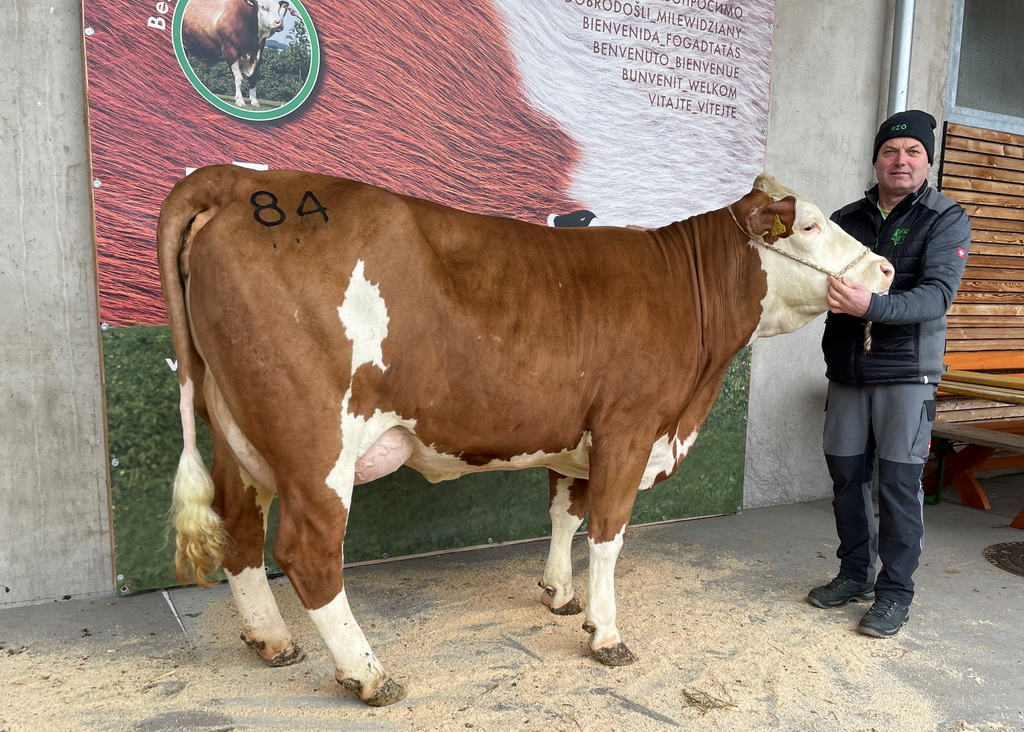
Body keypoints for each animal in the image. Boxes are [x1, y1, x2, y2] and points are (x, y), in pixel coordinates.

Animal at [155, 164, 892, 704]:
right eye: (812, 223)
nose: (885, 270)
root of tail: (247, 180)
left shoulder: (578, 434)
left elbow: (565, 512)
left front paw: (561, 597)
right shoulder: (627, 427)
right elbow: (607, 534)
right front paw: (606, 633)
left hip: (239, 433)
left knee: (239, 526)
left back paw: (270, 640)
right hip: (313, 439)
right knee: (307, 550)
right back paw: (368, 673)